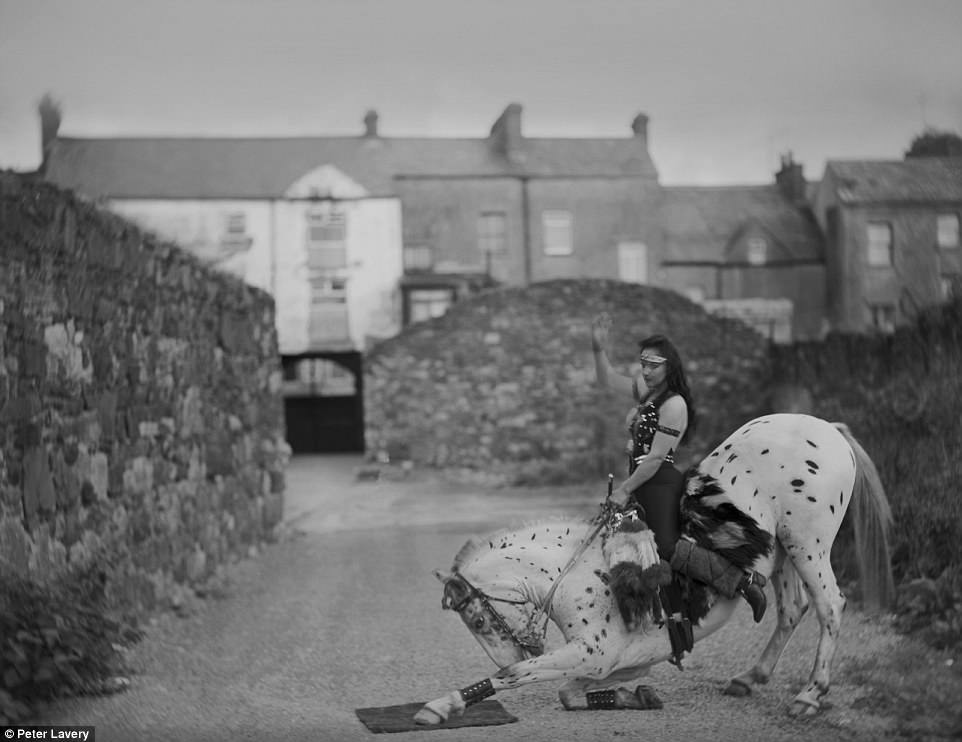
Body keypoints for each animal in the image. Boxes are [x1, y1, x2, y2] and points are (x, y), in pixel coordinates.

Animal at [412, 416, 892, 728]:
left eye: (477, 620)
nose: (516, 652)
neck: (579, 573)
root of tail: (827, 429)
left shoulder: (594, 652)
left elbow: (512, 679)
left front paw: (442, 705)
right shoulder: (618, 659)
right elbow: (571, 693)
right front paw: (635, 696)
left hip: (808, 544)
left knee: (829, 606)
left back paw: (809, 695)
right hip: (784, 554)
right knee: (791, 609)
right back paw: (749, 678)